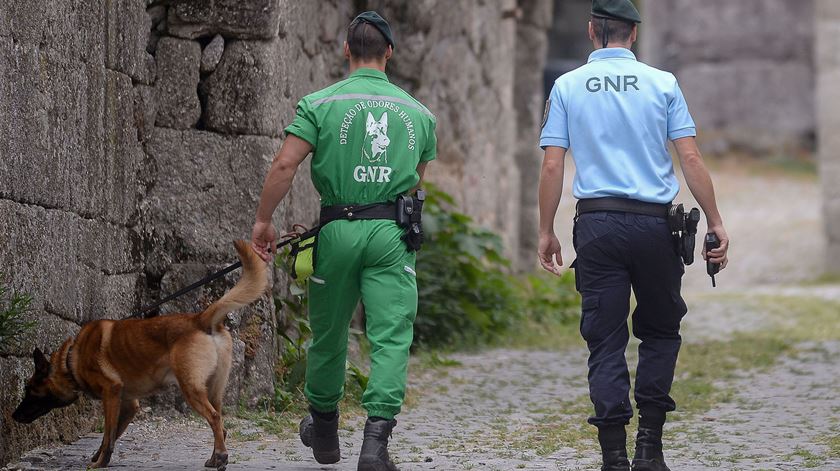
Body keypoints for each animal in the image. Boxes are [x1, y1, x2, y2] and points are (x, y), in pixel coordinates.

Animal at [11, 242, 268, 470]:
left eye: (30, 390)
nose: (14, 416)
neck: (71, 359)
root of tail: (200, 319)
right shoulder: (128, 404)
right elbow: (111, 435)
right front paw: (98, 457)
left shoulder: (111, 393)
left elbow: (108, 435)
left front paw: (100, 463)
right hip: (214, 390)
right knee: (221, 424)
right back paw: (215, 458)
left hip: (190, 388)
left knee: (214, 418)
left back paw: (221, 457)